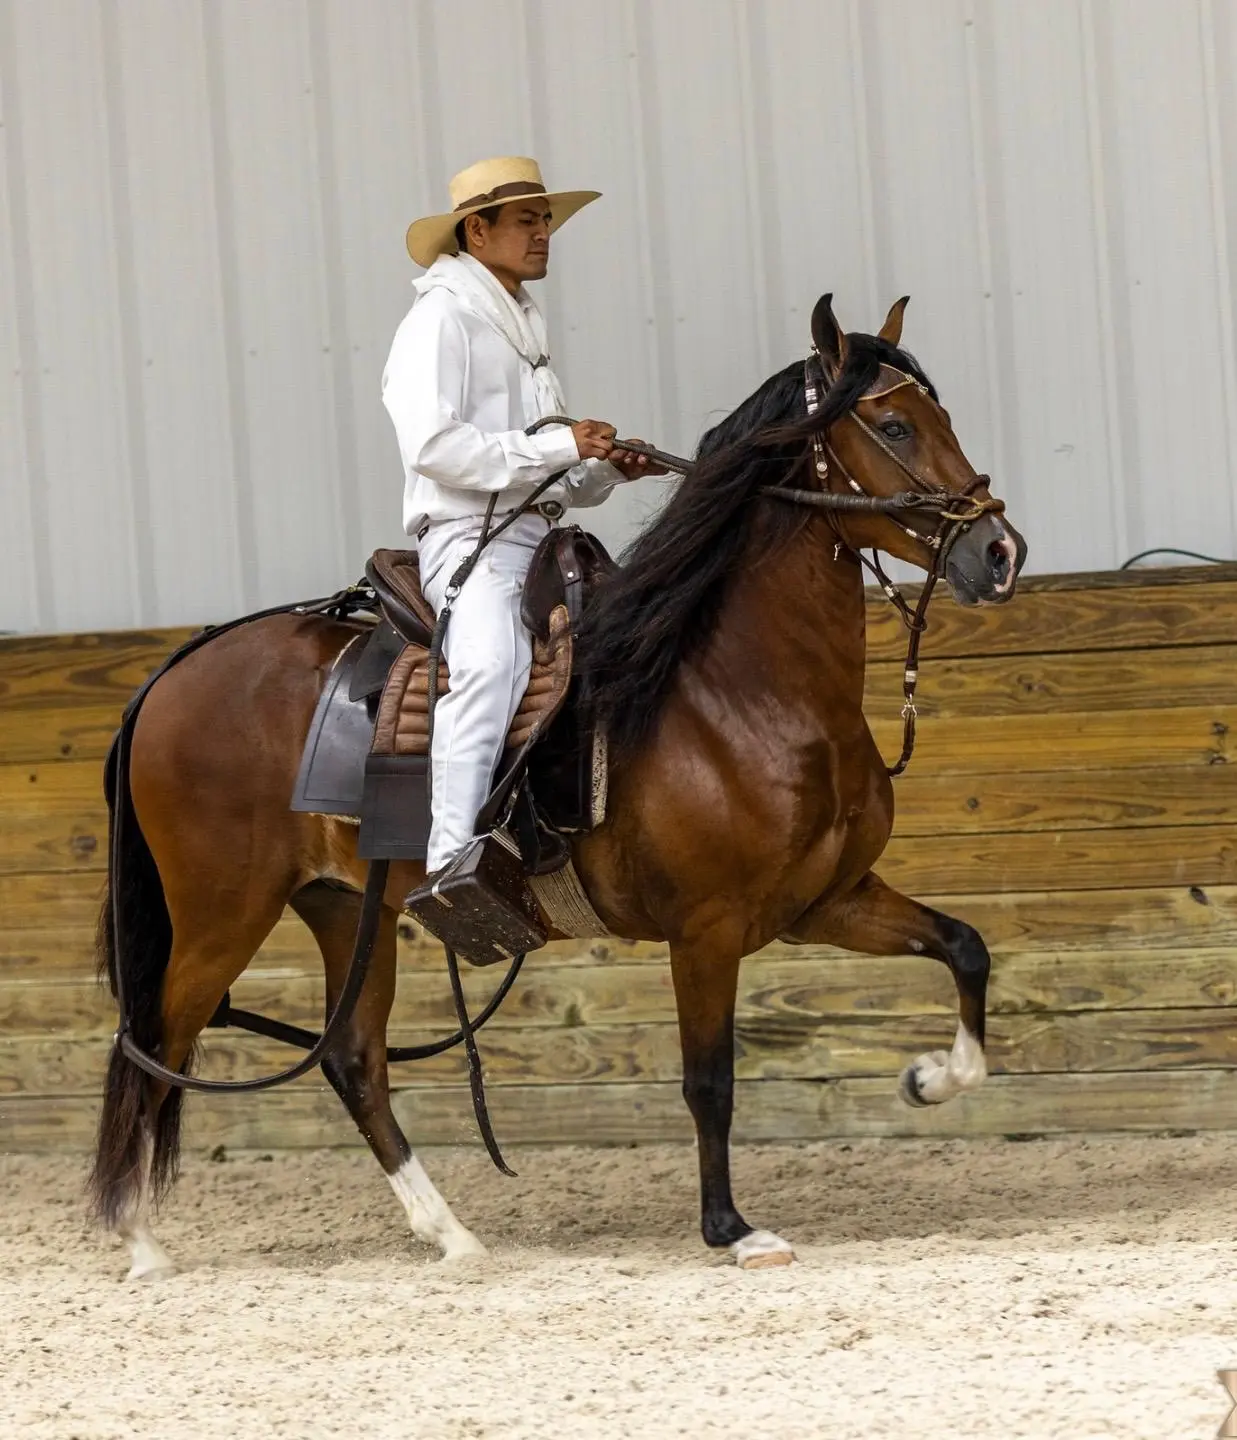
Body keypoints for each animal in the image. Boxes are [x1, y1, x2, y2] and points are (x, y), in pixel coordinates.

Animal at [89, 294, 1026, 1278]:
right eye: (892, 424)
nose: (998, 549)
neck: (739, 689)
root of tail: (176, 670)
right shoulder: (707, 929)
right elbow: (709, 1080)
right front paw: (732, 1229)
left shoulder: (826, 902)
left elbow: (964, 948)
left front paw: (930, 1077)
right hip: (222, 913)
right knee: (156, 1039)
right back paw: (140, 1241)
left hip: (345, 909)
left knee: (350, 1058)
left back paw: (452, 1235)